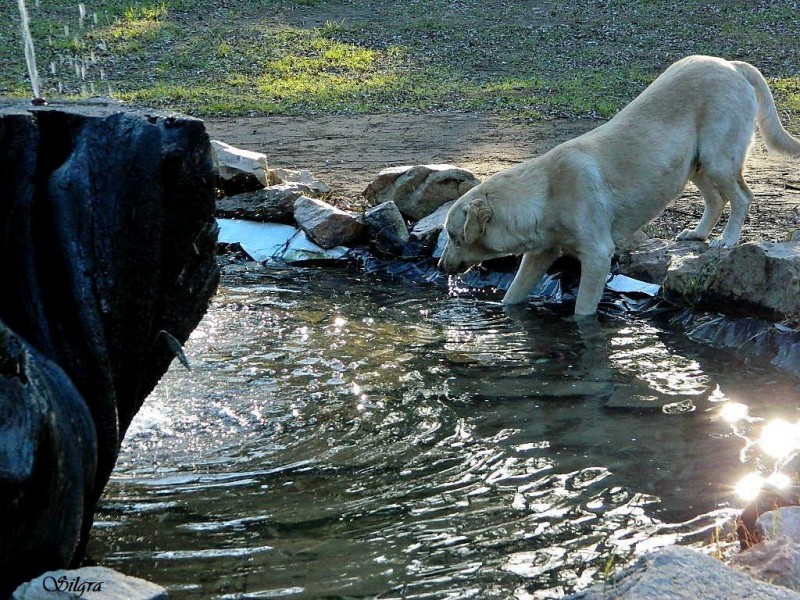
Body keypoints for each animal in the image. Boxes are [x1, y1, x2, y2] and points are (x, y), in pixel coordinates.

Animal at [438, 55, 800, 314]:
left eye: (455, 237)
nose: (441, 267)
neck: (546, 193)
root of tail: (731, 64)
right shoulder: (540, 255)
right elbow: (513, 295)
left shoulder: (598, 256)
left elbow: (583, 309)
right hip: (692, 165)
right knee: (716, 199)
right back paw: (698, 234)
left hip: (718, 158)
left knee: (741, 196)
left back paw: (728, 239)